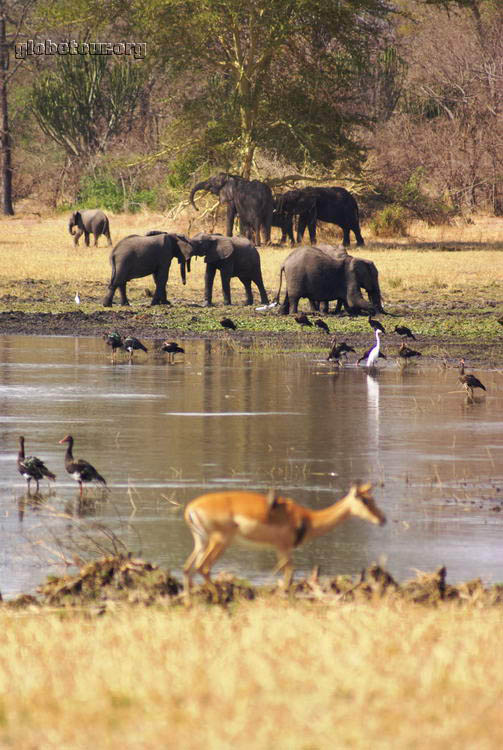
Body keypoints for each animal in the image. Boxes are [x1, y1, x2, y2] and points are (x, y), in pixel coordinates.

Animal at [183, 488, 388, 600]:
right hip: (219, 541)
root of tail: (190, 508)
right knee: (203, 567)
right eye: (365, 500)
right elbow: (289, 575)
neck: (308, 519)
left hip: (201, 542)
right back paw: (220, 597)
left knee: (188, 568)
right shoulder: (284, 548)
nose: (382, 519)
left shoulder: (281, 551)